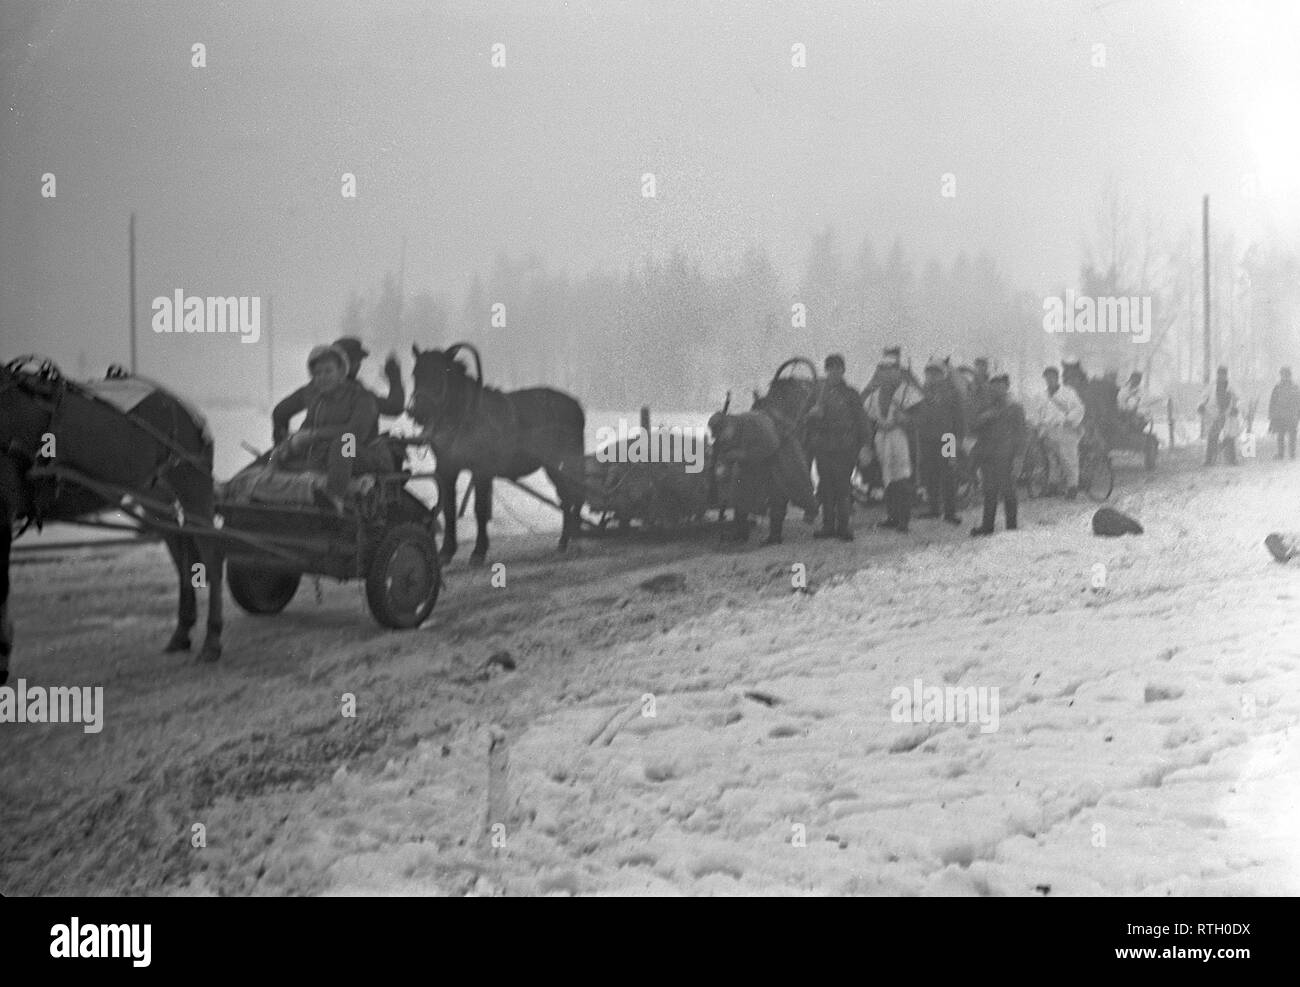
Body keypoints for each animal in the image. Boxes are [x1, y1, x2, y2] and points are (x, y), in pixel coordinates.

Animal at [0, 358, 223, 681]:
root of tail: (184, 406)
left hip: (191, 484)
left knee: (210, 550)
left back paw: (212, 641)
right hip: (155, 494)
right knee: (179, 548)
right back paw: (181, 633)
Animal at [408, 345, 587, 564]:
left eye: (441, 373)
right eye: (415, 373)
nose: (416, 412)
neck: (464, 416)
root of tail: (576, 405)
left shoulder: (482, 470)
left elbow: (480, 508)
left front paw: (478, 551)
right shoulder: (446, 468)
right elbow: (449, 508)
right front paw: (446, 552)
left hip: (566, 460)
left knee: (573, 495)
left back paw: (572, 541)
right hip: (554, 466)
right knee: (567, 497)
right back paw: (565, 541)